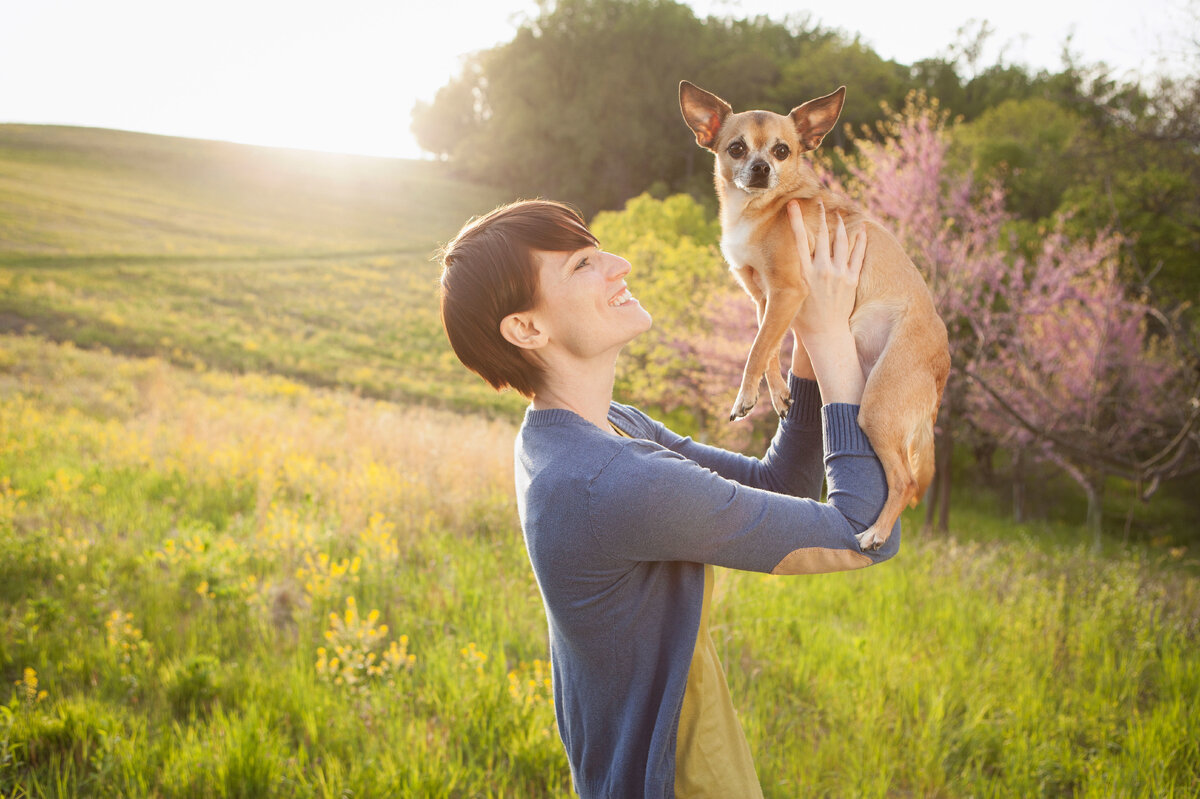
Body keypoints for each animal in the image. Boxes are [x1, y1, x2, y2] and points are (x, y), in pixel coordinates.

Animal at [686, 80, 945, 547]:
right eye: (736, 148)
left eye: (782, 151)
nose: (760, 168)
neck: (758, 210)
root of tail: (943, 365)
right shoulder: (764, 298)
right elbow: (769, 348)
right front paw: (777, 395)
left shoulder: (787, 291)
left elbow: (755, 349)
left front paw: (744, 396)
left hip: (877, 407)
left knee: (904, 481)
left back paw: (875, 533)